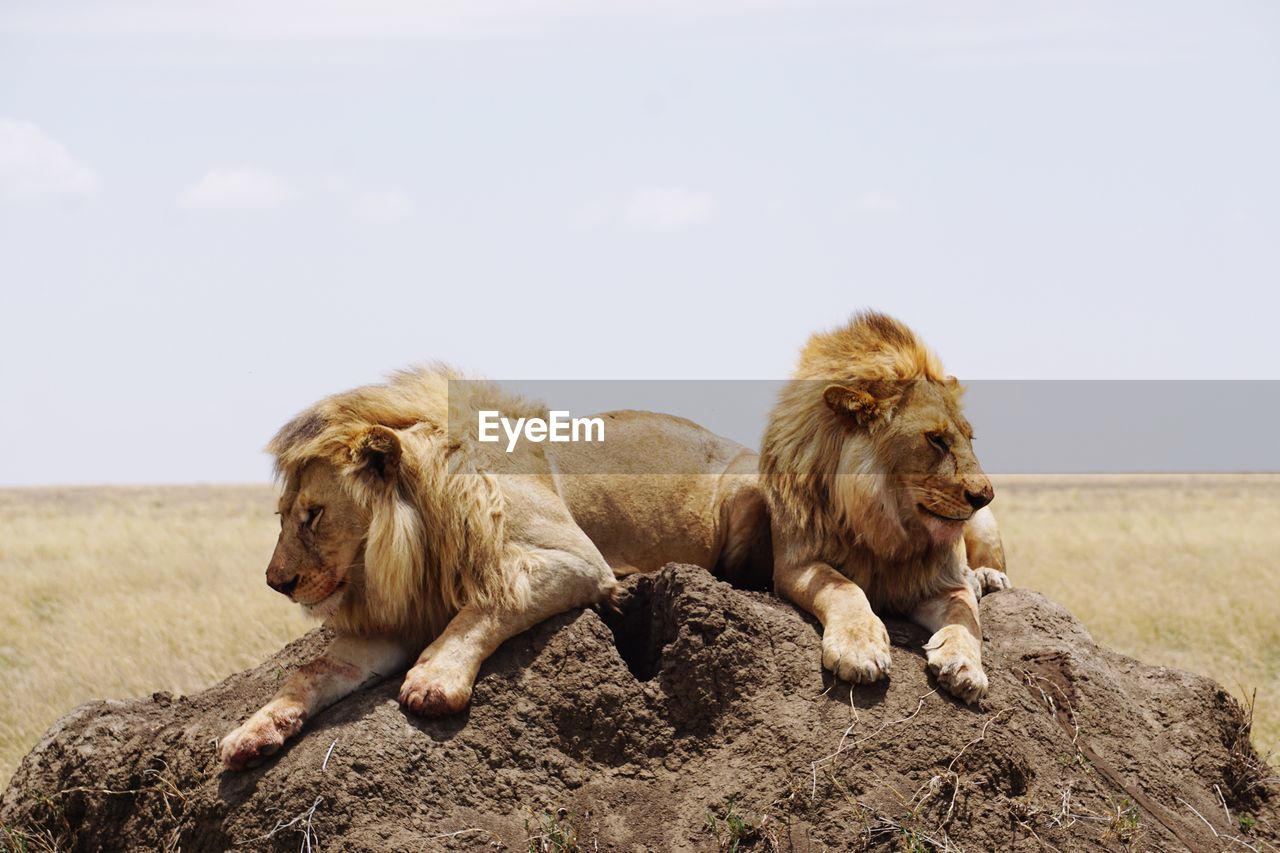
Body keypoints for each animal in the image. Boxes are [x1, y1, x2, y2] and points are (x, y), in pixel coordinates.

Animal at [217, 361, 768, 768]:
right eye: (282, 515)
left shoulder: (579, 558)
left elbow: (490, 602)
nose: (275, 582)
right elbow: (310, 669)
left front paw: (434, 680)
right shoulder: (396, 623)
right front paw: (253, 729)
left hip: (746, 491)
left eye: (314, 515)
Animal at [757, 308, 1008, 701]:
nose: (985, 495)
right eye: (936, 439)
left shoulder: (944, 582)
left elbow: (966, 616)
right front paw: (859, 649)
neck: (885, 524)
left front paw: (966, 667)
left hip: (985, 526)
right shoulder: (794, 563)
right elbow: (843, 586)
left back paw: (987, 577)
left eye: (970, 438)